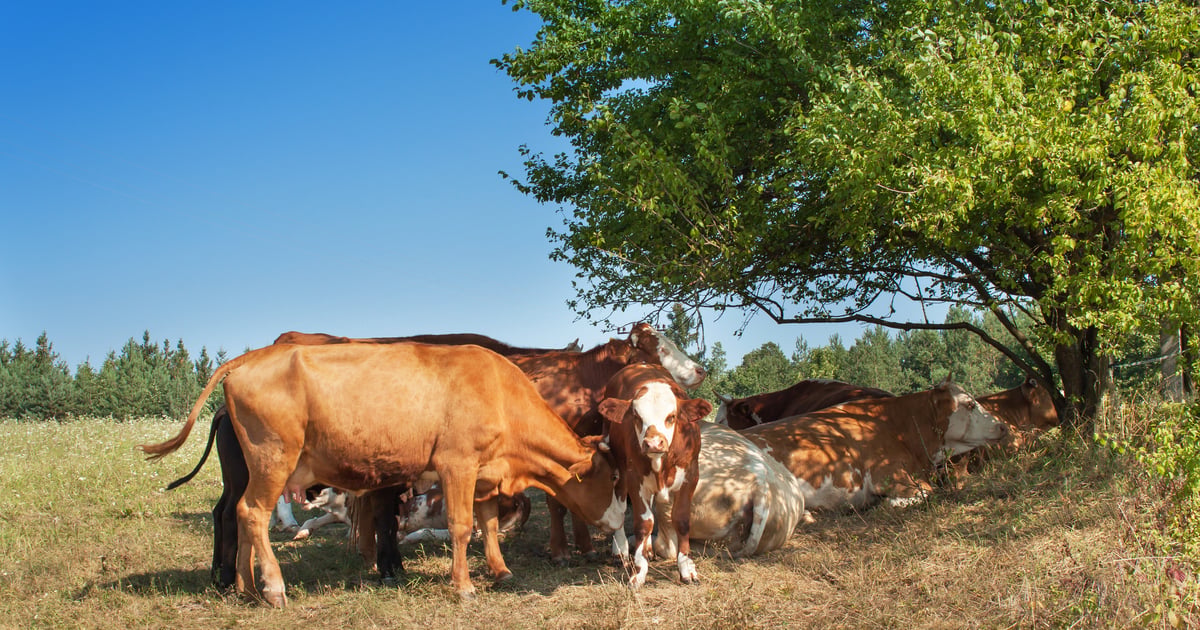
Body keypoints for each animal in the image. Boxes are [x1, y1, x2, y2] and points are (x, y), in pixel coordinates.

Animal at [142, 342, 626, 606]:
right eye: (612, 481)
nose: (621, 523)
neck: (501, 393)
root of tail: (250, 358)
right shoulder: (457, 464)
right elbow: (461, 525)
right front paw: (464, 586)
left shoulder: (486, 471)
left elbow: (487, 524)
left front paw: (500, 571)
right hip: (271, 459)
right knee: (253, 514)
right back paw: (273, 588)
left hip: (251, 469)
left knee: (240, 515)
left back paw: (245, 587)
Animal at [597, 364, 711, 588]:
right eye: (637, 417)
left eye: (672, 417)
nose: (653, 443)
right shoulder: (635, 478)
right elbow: (644, 522)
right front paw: (639, 571)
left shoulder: (691, 475)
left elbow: (682, 520)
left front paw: (687, 568)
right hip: (619, 466)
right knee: (621, 506)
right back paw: (621, 549)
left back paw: (648, 549)